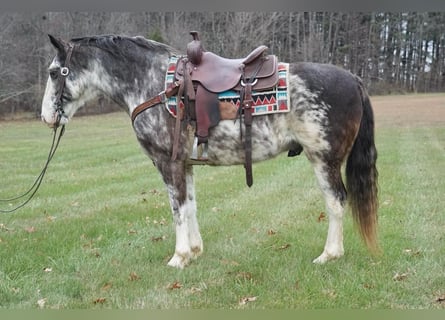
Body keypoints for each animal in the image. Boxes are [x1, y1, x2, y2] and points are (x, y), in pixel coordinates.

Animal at [40, 33, 378, 268]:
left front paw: (179, 257)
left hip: (324, 159)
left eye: (55, 72)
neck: (154, 84)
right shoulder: (185, 164)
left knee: (336, 201)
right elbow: (190, 205)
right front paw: (195, 251)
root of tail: (353, 78)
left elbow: (176, 210)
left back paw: (329, 255)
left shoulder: (168, 163)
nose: (46, 117)